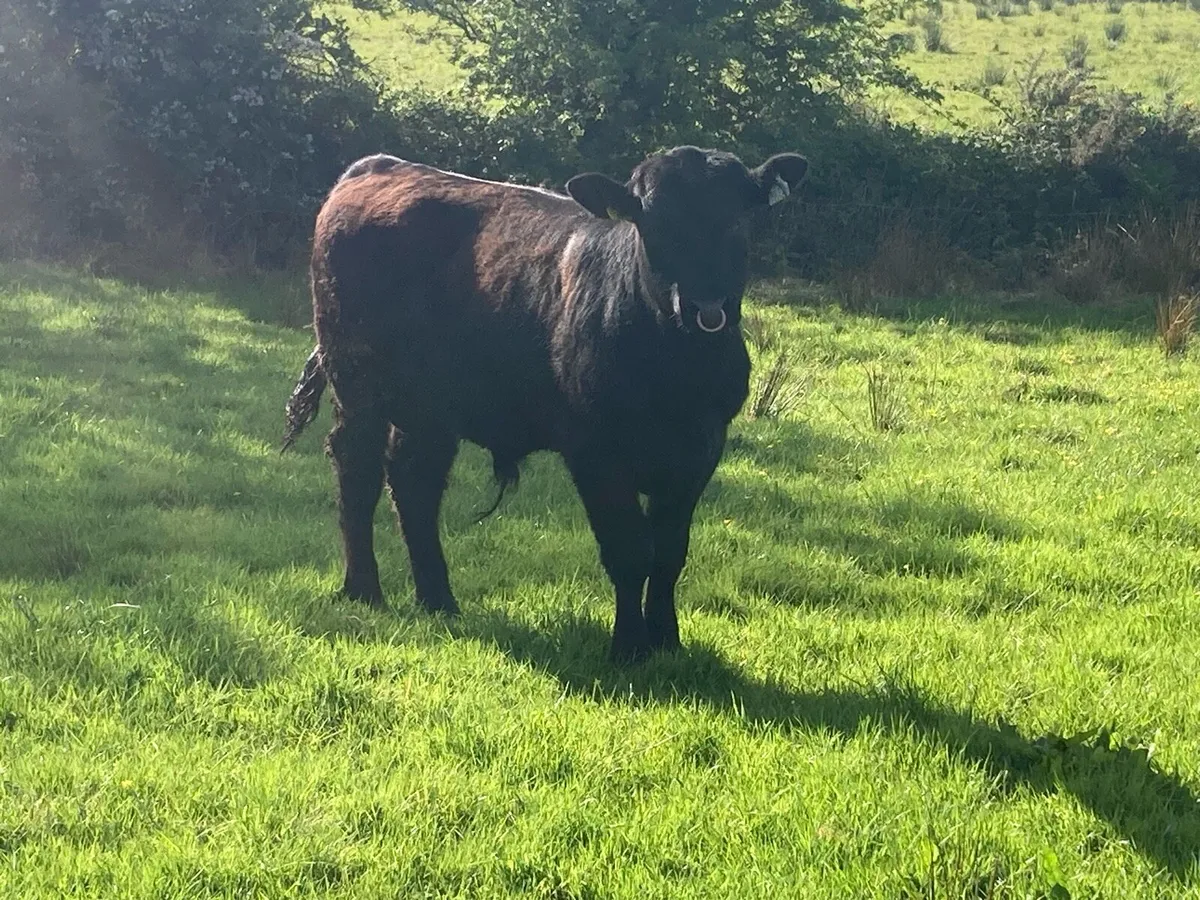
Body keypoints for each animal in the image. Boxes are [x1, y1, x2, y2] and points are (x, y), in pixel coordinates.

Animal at [281, 145, 808, 662]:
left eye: (737, 219)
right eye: (652, 221)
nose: (704, 304)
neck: (674, 371)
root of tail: (376, 165)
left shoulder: (699, 450)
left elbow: (669, 552)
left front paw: (667, 640)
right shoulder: (596, 453)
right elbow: (629, 550)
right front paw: (629, 647)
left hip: (428, 407)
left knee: (414, 481)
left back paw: (438, 600)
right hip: (356, 380)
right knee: (357, 469)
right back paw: (364, 589)